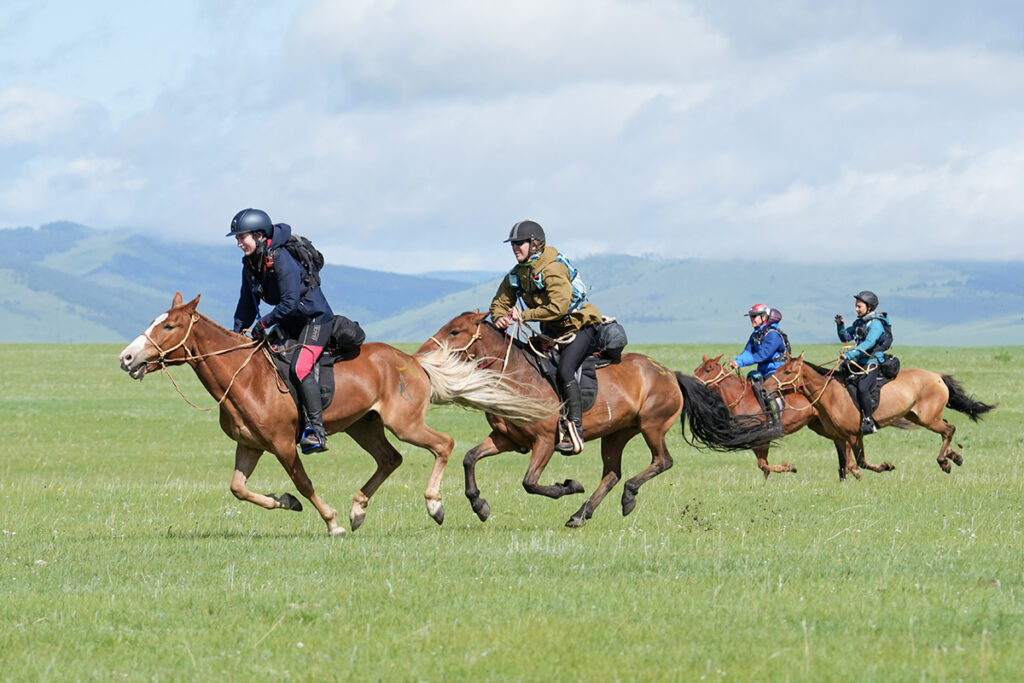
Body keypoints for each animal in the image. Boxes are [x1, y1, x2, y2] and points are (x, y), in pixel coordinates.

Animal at [116, 290, 557, 536]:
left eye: (169, 326)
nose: (127, 358)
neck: (246, 375)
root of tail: (413, 361)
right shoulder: (251, 446)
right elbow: (238, 489)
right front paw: (285, 502)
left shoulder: (283, 444)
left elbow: (305, 483)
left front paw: (331, 522)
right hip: (365, 426)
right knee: (390, 459)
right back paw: (359, 509)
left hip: (404, 423)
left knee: (443, 444)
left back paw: (434, 505)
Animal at [419, 309, 778, 528]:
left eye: (455, 331)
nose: (423, 353)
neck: (517, 375)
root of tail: (670, 375)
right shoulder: (507, 439)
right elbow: (469, 458)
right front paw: (478, 505)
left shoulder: (545, 441)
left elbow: (530, 483)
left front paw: (569, 486)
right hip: (615, 434)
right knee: (612, 473)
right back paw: (582, 514)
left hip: (652, 427)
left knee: (661, 461)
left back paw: (626, 497)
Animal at [770, 352, 991, 475]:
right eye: (778, 369)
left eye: (787, 372)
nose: (765, 388)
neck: (831, 394)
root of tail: (937, 376)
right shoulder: (841, 437)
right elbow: (848, 464)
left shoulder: (854, 435)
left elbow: (858, 463)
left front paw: (882, 467)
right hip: (919, 417)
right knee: (946, 428)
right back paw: (954, 457)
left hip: (928, 419)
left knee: (949, 429)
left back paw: (944, 462)